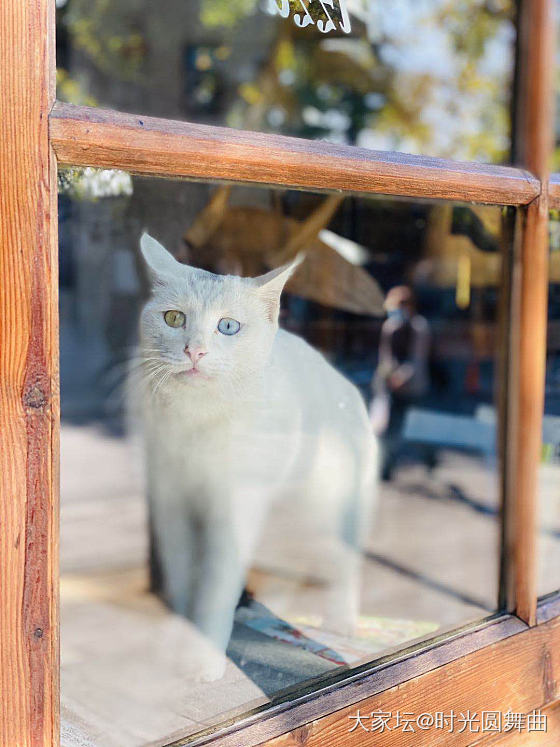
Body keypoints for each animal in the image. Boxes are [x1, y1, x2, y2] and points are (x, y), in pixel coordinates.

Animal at [131, 234, 376, 676]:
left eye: (228, 327)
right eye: (173, 319)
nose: (195, 351)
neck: (198, 420)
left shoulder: (238, 502)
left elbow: (217, 583)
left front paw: (203, 656)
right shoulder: (170, 497)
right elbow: (181, 572)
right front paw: (178, 633)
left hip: (335, 502)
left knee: (344, 559)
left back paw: (341, 619)